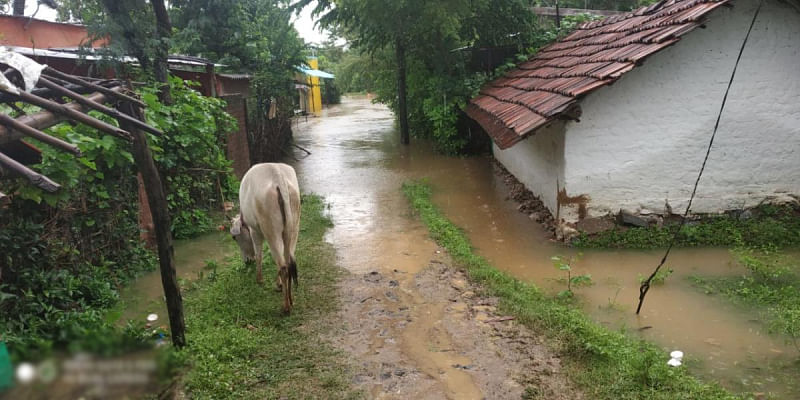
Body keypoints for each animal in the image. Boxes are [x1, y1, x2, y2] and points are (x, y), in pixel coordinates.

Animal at [230, 162, 302, 312]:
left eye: (234, 238)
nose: (247, 261)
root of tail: (278, 176)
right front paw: (278, 284)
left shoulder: (254, 231)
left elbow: (259, 255)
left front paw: (259, 279)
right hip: (293, 226)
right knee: (288, 261)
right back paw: (290, 299)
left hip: (270, 229)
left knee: (283, 266)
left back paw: (286, 307)